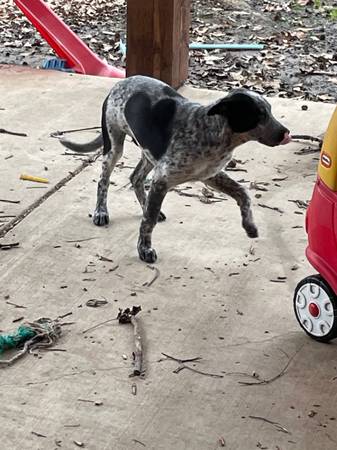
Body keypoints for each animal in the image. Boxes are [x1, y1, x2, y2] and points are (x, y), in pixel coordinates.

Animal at [59, 75, 290, 262]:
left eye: (270, 112)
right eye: (258, 115)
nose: (286, 133)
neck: (214, 131)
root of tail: (119, 83)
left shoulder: (210, 175)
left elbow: (243, 193)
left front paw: (249, 226)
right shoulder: (162, 179)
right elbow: (148, 222)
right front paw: (144, 249)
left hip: (149, 153)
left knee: (135, 178)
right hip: (114, 146)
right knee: (104, 180)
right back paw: (101, 211)